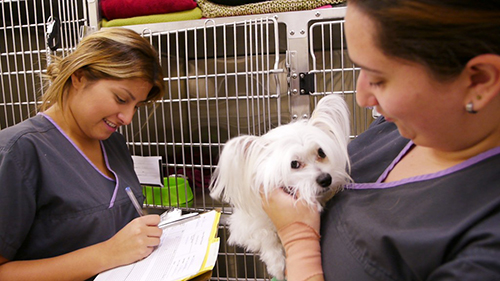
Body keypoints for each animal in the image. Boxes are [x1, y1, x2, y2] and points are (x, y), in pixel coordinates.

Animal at [209, 93, 350, 278]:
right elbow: (265, 235)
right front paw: (276, 264)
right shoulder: (244, 226)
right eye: (294, 164)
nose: (326, 179)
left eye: (321, 152)